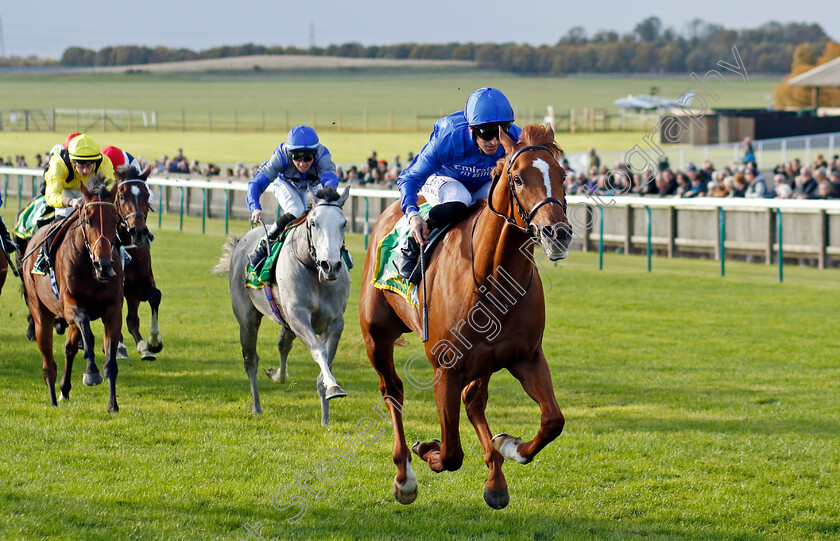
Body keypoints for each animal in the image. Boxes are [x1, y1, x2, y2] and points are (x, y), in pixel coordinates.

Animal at [20, 175, 124, 412]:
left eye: (115, 220)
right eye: (87, 219)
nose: (104, 265)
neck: (90, 269)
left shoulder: (113, 311)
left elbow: (110, 361)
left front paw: (112, 404)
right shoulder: (70, 307)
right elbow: (86, 328)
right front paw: (91, 372)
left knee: (69, 349)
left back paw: (64, 389)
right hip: (40, 312)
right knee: (48, 360)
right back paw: (52, 397)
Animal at [358, 124, 576, 508]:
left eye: (562, 175)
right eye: (518, 179)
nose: (558, 234)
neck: (491, 275)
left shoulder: (526, 356)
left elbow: (553, 420)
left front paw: (511, 447)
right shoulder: (446, 368)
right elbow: (451, 454)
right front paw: (427, 449)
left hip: (486, 359)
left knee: (474, 401)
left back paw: (496, 477)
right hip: (376, 336)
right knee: (393, 391)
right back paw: (405, 475)